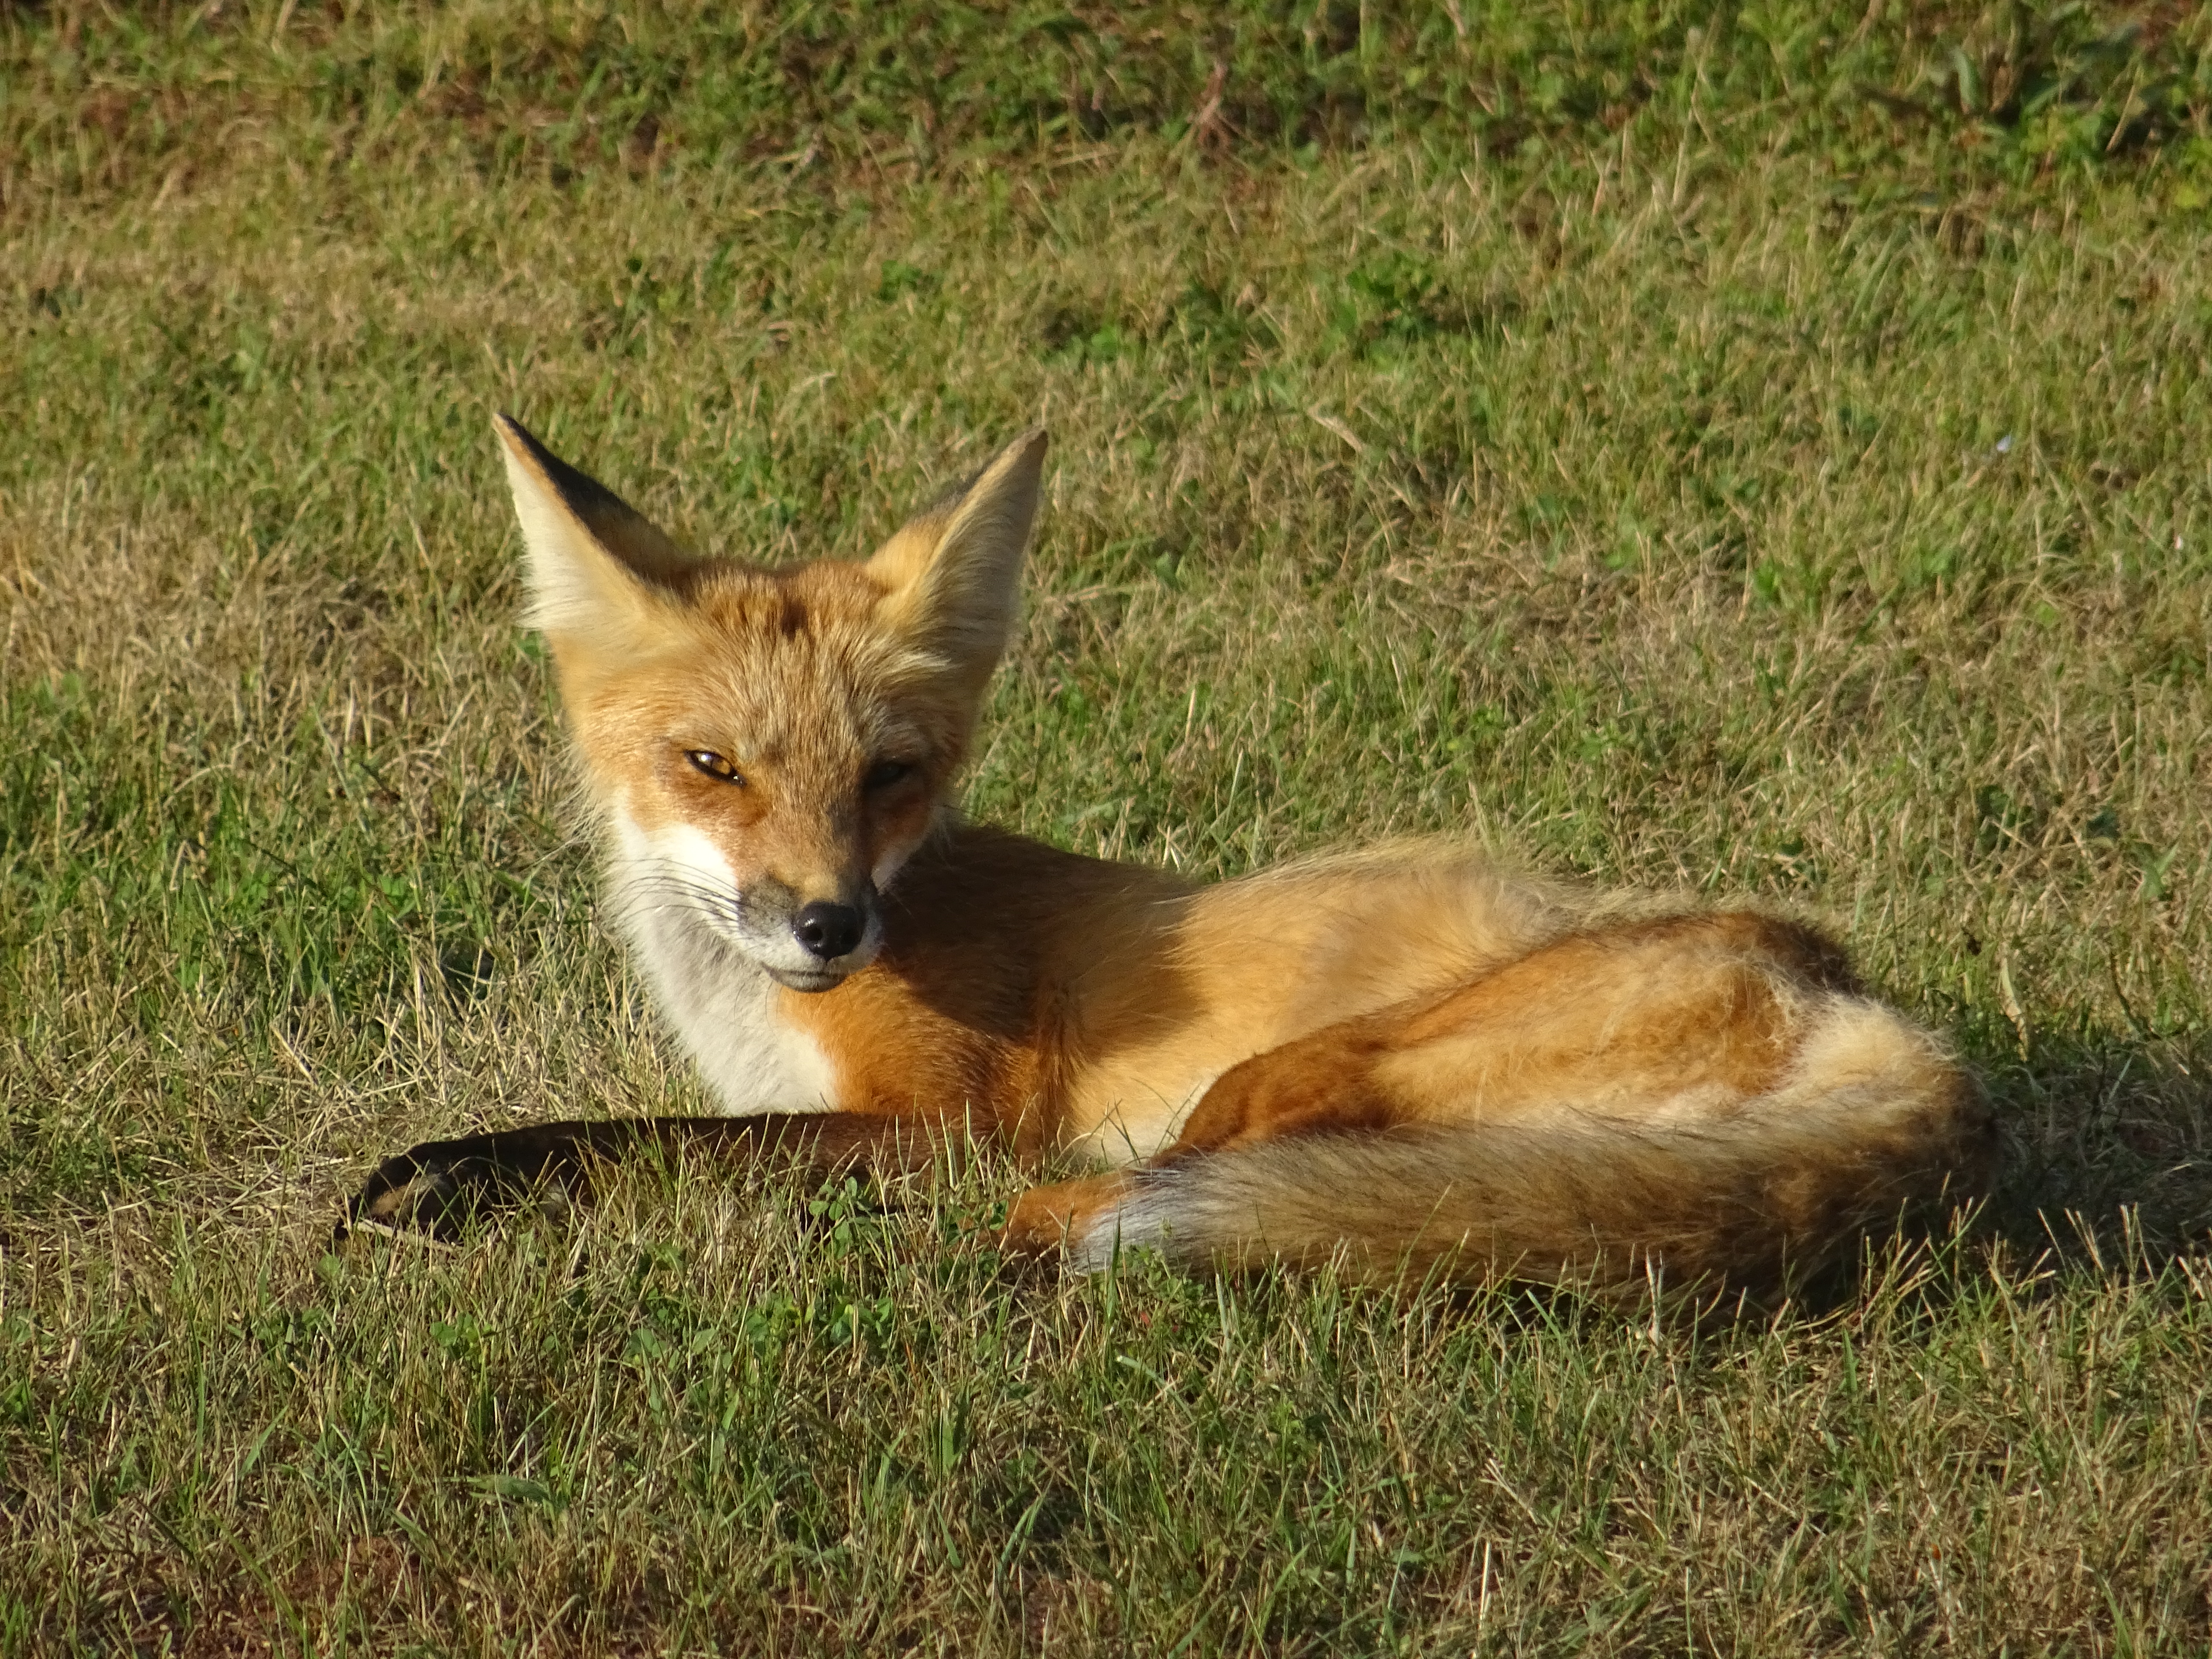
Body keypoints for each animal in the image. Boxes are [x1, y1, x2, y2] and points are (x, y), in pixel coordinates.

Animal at [344, 417, 1997, 1299]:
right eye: (712, 768)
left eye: (890, 775)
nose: (828, 925)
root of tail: (1852, 989)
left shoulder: (947, 1118)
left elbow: (637, 1140)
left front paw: (462, 1174)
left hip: (1294, 1074)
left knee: (1133, 1189)